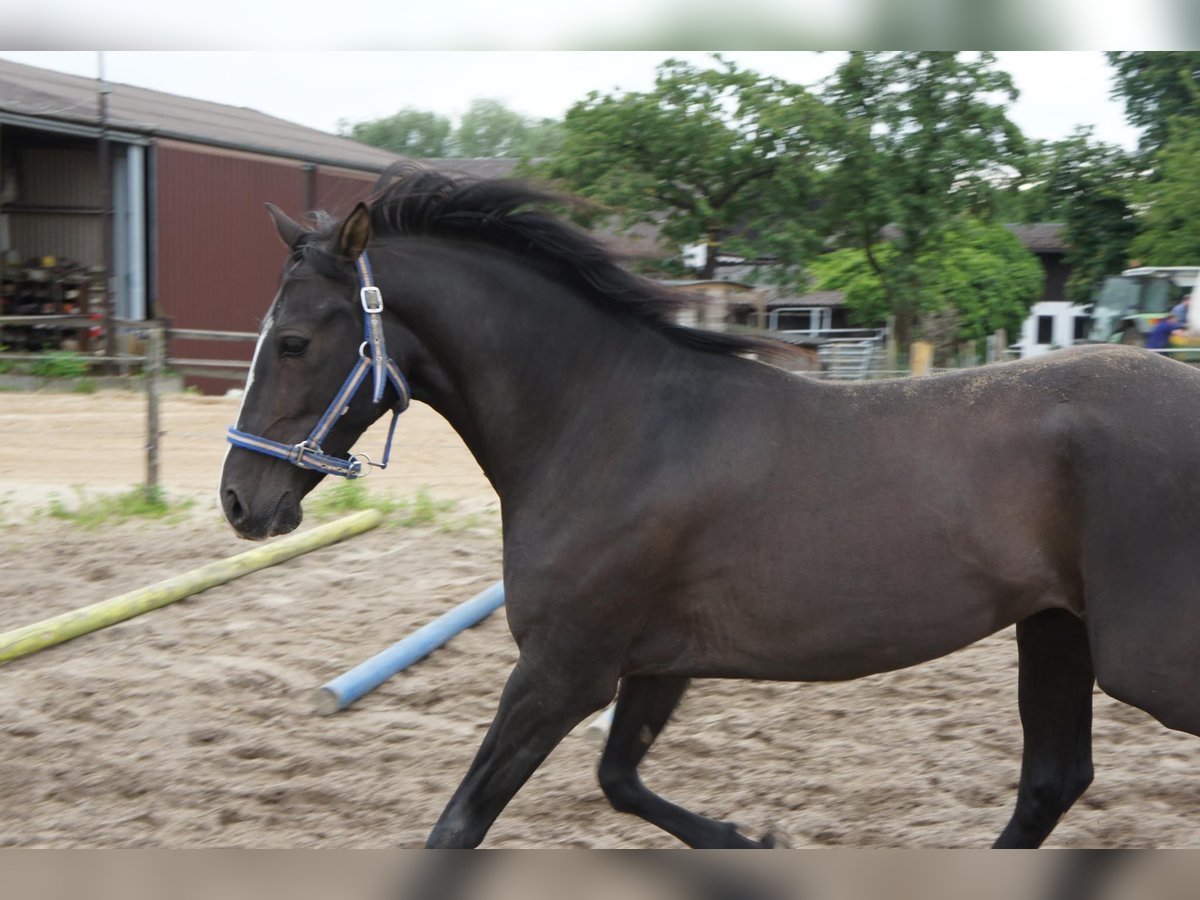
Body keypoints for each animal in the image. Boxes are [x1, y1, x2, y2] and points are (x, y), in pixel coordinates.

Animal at [220, 165, 1200, 849]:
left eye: (295, 341)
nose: (239, 501)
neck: (608, 424)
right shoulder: (652, 664)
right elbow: (618, 781)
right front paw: (749, 840)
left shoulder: (562, 671)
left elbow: (459, 825)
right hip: (1057, 629)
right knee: (1051, 783)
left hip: (1140, 660)